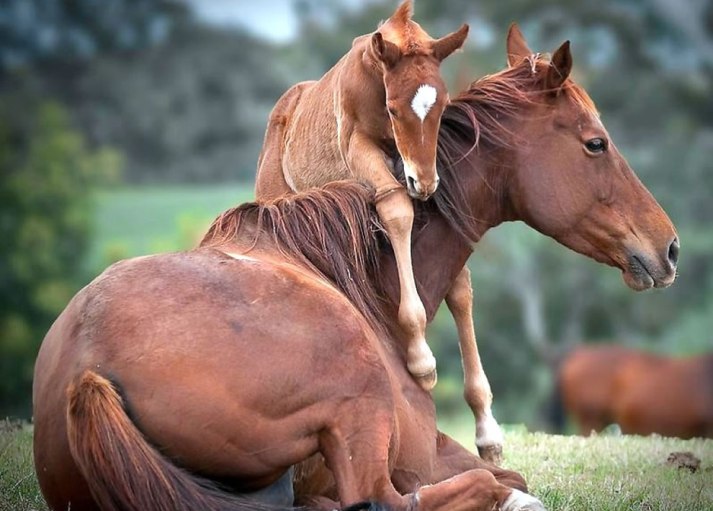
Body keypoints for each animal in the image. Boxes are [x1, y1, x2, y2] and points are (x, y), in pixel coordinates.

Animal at [254, 0, 468, 390]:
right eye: (393, 108)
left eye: (443, 106)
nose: (424, 183)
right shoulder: (358, 148)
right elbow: (396, 208)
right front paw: (422, 360)